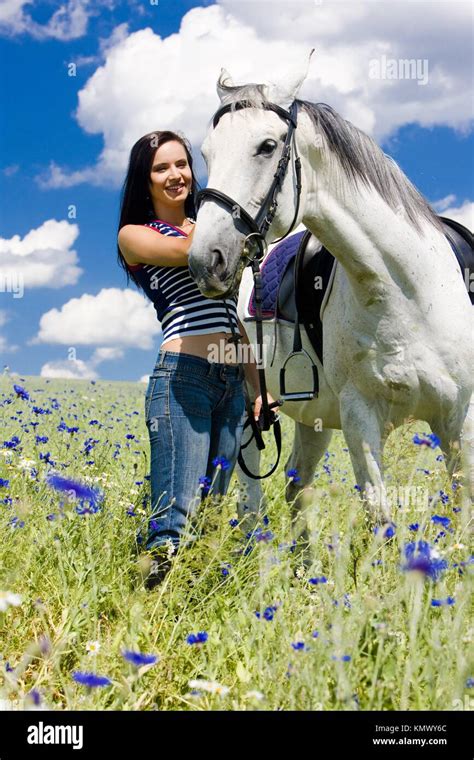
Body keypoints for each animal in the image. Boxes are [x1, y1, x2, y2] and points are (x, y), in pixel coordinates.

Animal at [187, 56, 472, 528]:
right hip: (252, 413)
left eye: (267, 146)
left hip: (311, 418)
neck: (408, 295)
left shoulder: (459, 421)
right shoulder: (361, 418)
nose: (205, 260)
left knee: (296, 486)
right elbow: (381, 517)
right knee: (252, 504)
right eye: (207, 153)